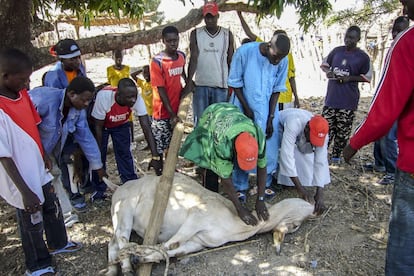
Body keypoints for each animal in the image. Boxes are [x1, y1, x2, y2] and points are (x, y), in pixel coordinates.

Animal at [105, 174, 316, 274]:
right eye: (297, 224)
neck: (237, 224)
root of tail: (117, 187)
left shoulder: (199, 242)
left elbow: (173, 250)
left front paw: (142, 259)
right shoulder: (197, 216)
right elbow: (170, 245)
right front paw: (138, 256)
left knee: (113, 242)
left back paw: (116, 268)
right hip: (124, 209)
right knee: (122, 238)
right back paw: (127, 262)